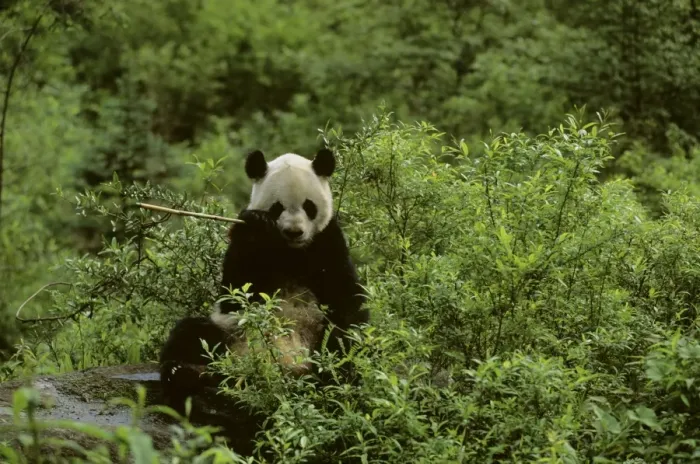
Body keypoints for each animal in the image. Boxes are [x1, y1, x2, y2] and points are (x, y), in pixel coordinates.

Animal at [158, 148, 369, 433]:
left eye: (309, 206)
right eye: (277, 207)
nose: (294, 232)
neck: (291, 252)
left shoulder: (327, 241)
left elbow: (346, 299)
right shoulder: (241, 241)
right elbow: (233, 295)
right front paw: (259, 226)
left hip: (312, 339)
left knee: (337, 340)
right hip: (231, 337)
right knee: (191, 333)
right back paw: (183, 375)